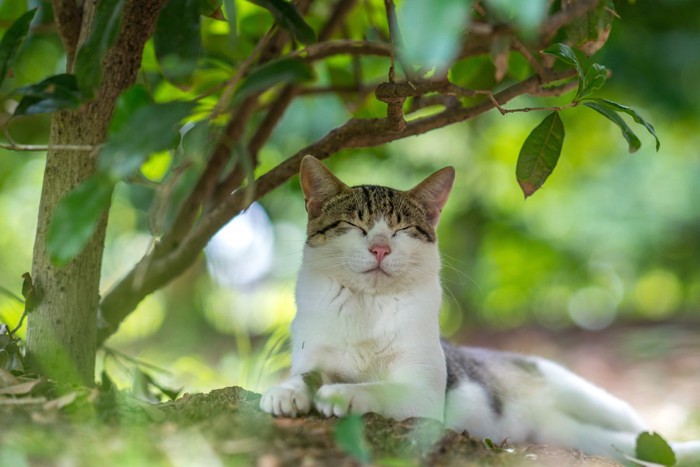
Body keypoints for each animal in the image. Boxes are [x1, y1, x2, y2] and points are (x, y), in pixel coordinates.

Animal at [260, 154, 696, 464]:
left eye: (401, 231)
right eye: (355, 226)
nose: (380, 248)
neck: (368, 305)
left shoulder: (423, 394)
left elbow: (378, 388)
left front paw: (341, 394)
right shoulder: (312, 357)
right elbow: (303, 377)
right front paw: (285, 393)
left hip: (588, 396)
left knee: (641, 428)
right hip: (574, 434)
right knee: (628, 445)